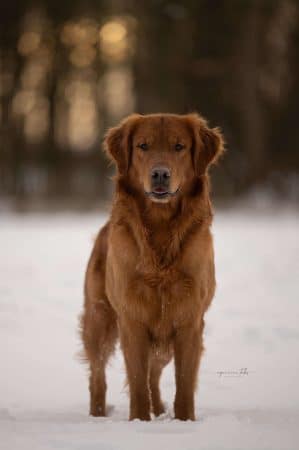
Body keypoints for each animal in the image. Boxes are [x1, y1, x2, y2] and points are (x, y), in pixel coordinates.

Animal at [79, 112, 225, 422]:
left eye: (179, 147)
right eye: (143, 146)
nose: (160, 174)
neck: (160, 227)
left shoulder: (189, 319)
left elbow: (183, 382)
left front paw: (183, 421)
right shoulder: (131, 319)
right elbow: (136, 380)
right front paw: (139, 421)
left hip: (162, 339)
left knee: (155, 374)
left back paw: (158, 410)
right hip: (99, 319)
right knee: (98, 374)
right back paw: (97, 415)